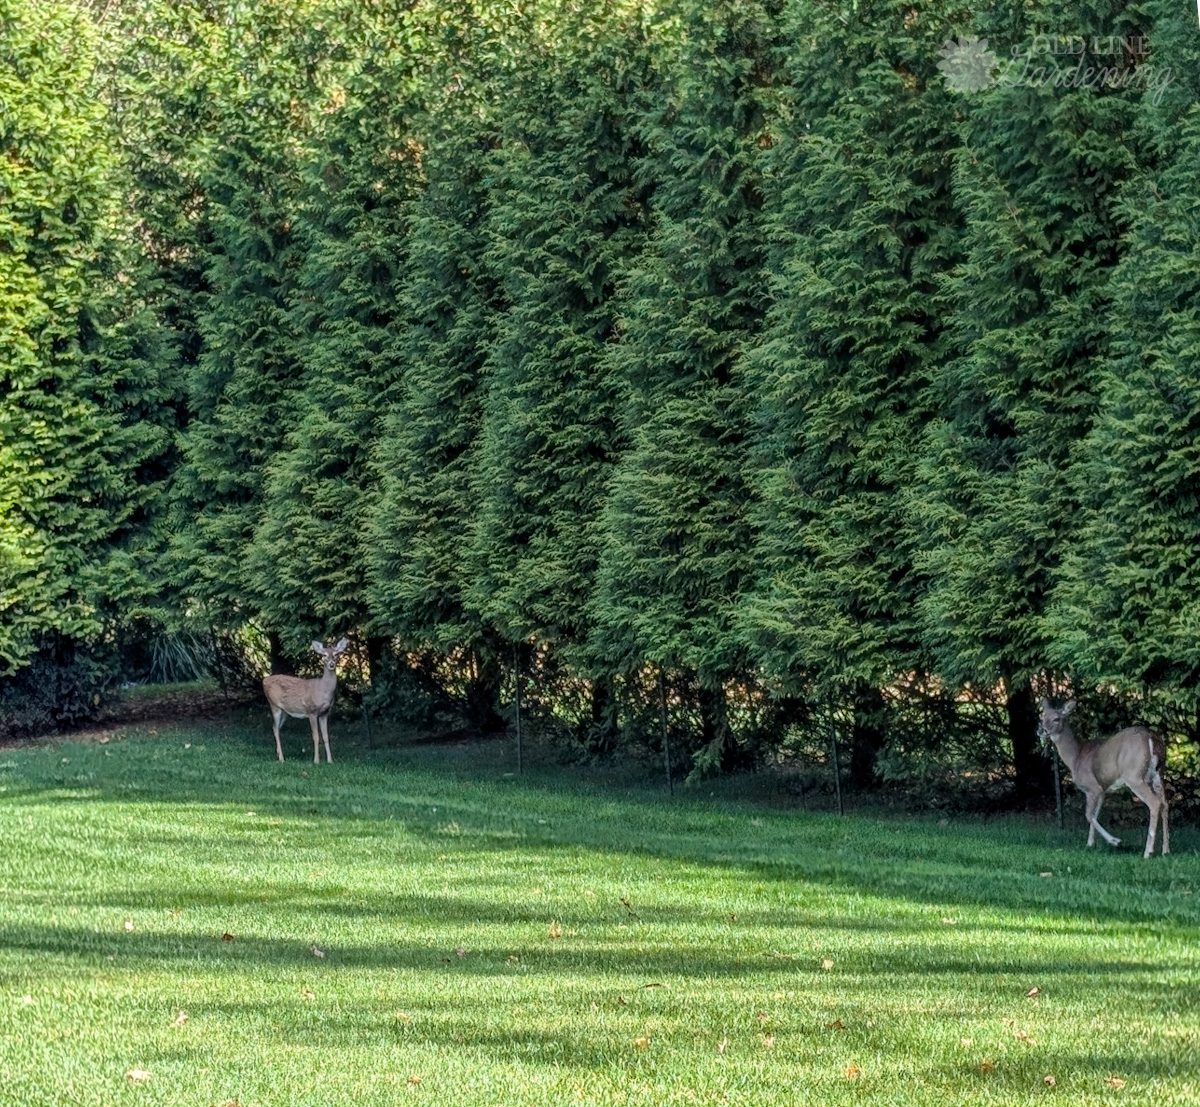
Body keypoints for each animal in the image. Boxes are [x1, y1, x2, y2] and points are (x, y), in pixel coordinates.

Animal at [1037, 698, 1169, 858]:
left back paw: (1148, 852)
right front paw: (1090, 844)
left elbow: (1088, 815)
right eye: (1042, 717)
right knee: (1165, 804)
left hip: (1134, 775)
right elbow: (1095, 815)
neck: (1076, 758)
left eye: (1057, 719)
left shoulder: (1092, 787)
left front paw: (1115, 841)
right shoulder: (1102, 790)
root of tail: (1151, 737)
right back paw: (1166, 850)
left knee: (1155, 803)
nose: (1041, 730)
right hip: (1158, 774)